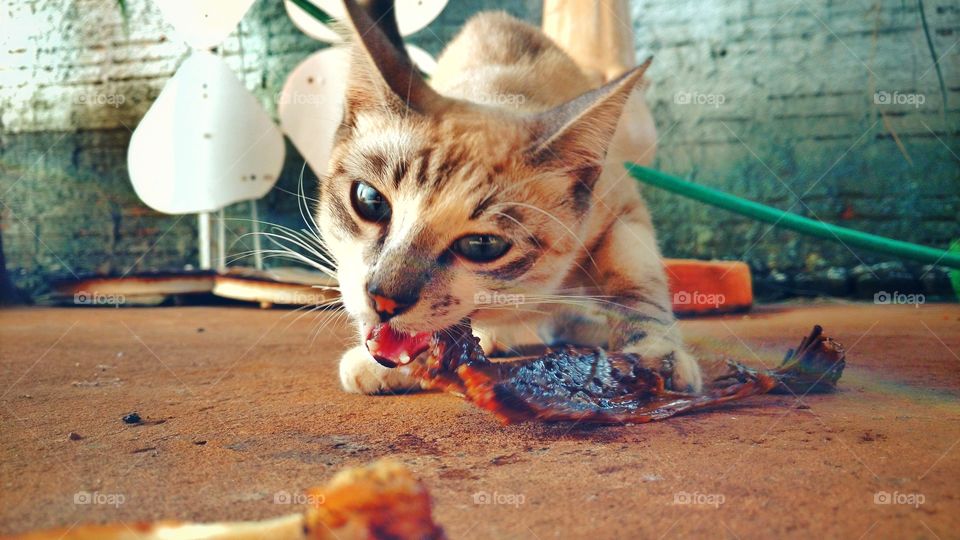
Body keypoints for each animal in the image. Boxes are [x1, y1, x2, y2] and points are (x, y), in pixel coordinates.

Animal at [318, 1, 700, 396]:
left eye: (482, 245)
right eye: (370, 201)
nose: (384, 299)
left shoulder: (624, 213)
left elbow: (637, 285)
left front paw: (657, 356)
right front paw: (387, 365)